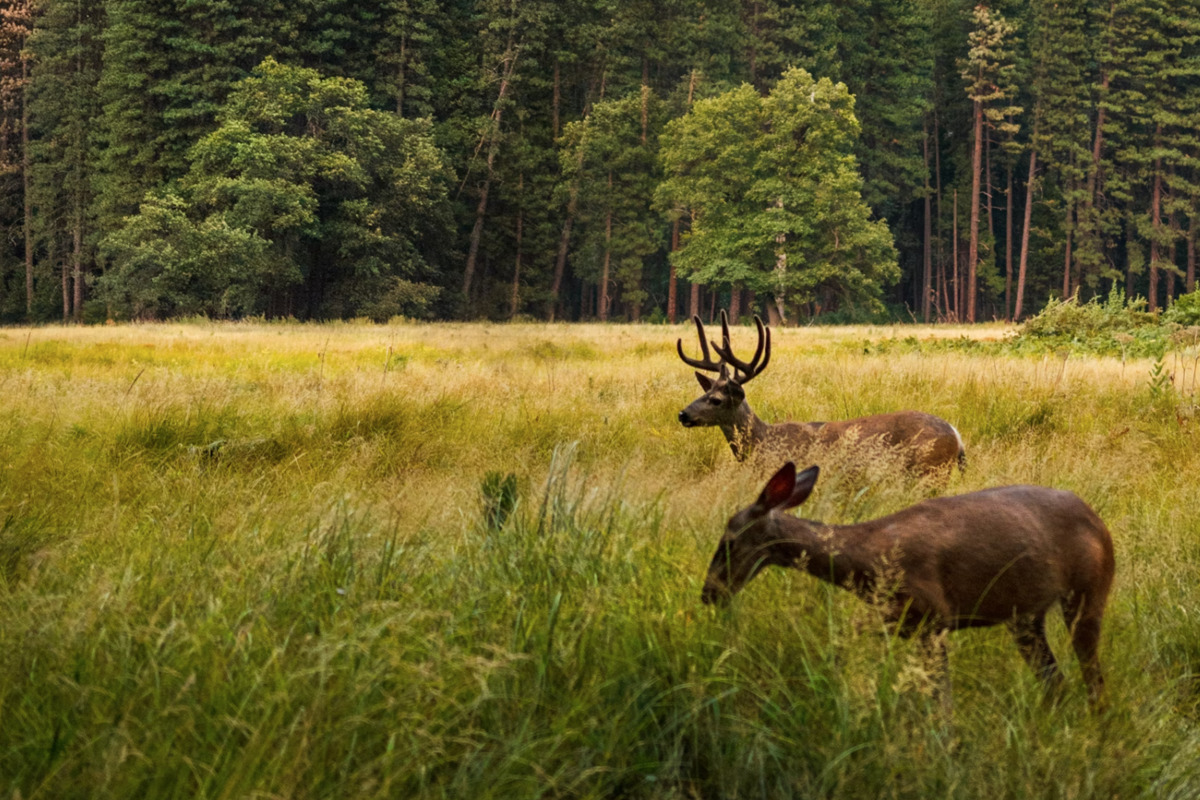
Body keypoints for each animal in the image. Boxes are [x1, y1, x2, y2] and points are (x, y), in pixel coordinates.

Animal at [676, 311, 964, 474]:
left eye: (716, 400)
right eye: (703, 392)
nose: (683, 414)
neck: (763, 442)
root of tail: (957, 435)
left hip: (931, 471)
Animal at [700, 460, 1118, 705]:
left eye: (728, 542)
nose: (708, 594)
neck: (868, 561)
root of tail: (1099, 522)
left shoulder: (934, 617)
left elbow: (941, 698)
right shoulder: (895, 619)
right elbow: (843, 646)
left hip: (1088, 592)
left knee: (1094, 681)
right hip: (1026, 617)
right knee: (1056, 681)